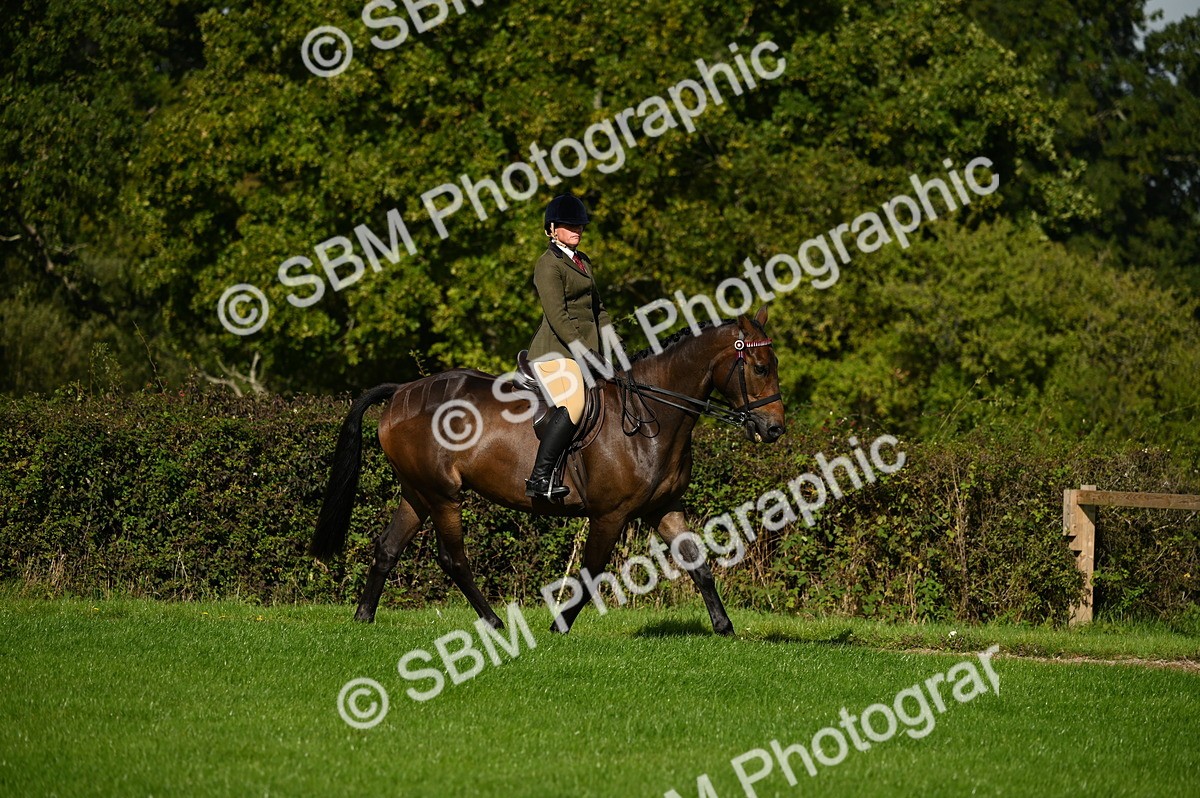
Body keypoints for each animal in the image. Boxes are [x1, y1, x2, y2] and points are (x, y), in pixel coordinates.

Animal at [310, 306, 786, 635]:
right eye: (761, 367)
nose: (775, 429)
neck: (653, 414)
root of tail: (401, 391)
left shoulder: (663, 508)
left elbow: (698, 563)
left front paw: (724, 627)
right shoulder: (610, 515)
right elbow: (591, 573)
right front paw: (558, 626)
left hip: (417, 491)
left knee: (388, 548)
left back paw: (364, 616)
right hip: (443, 494)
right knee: (453, 558)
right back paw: (495, 623)